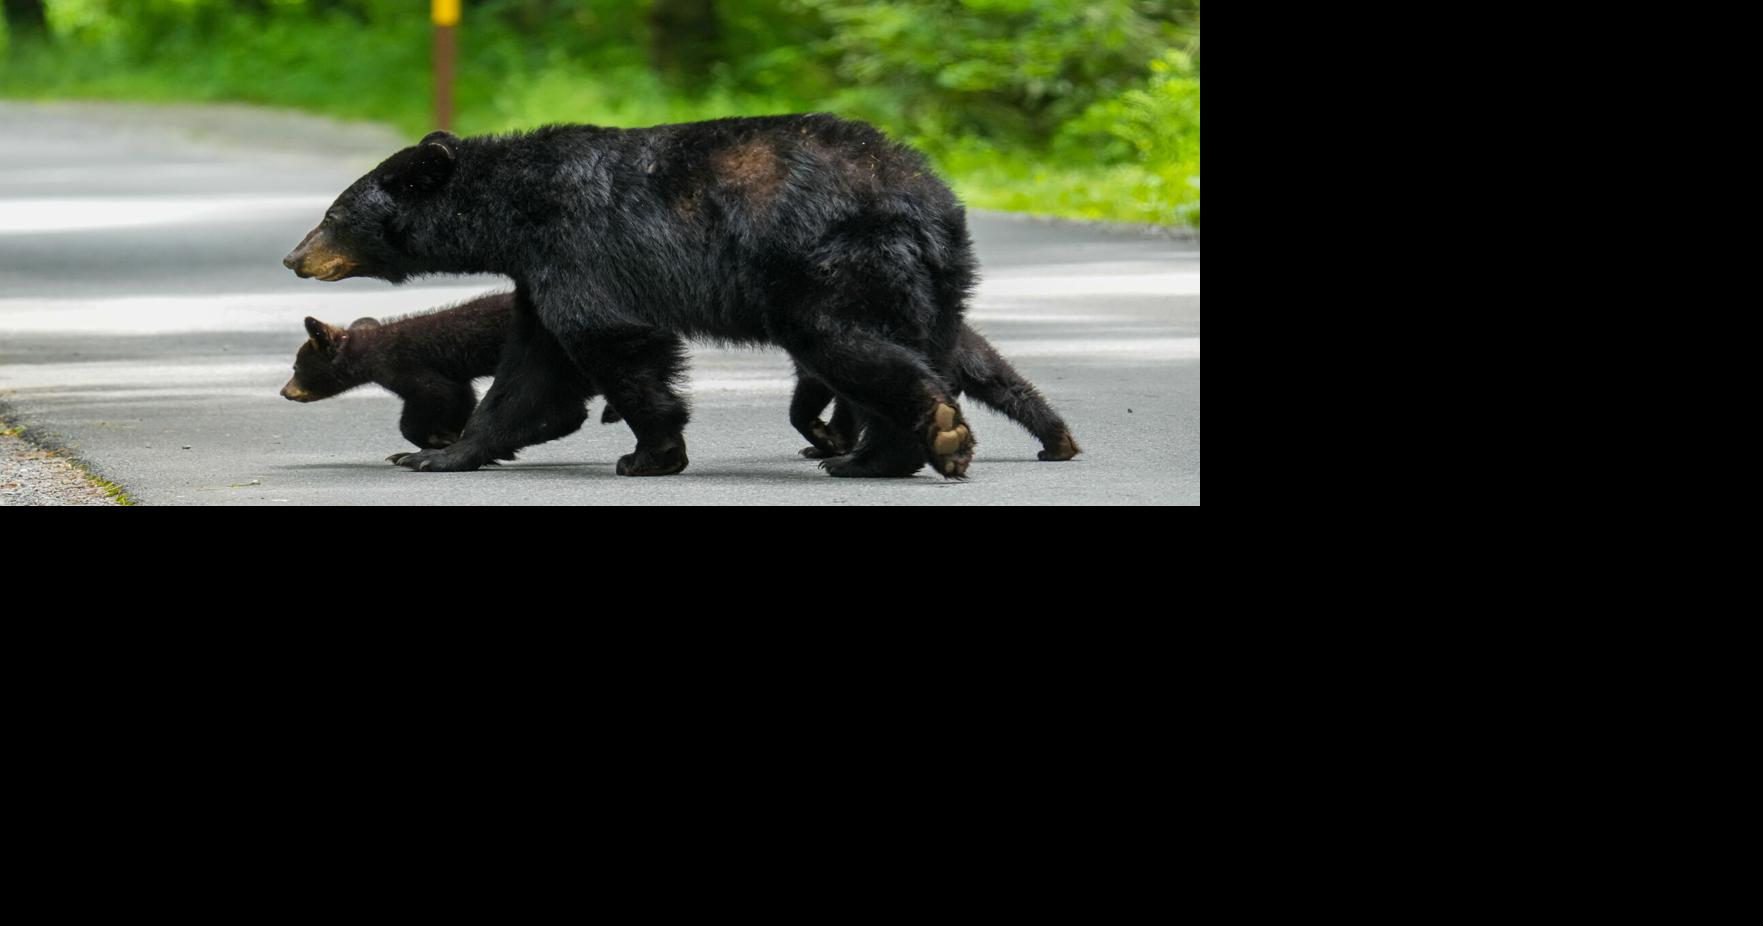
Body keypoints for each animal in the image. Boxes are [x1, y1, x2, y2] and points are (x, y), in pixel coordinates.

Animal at [279, 292, 595, 456]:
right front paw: (447, 435)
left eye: (296, 368)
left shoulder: (403, 365)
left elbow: (434, 394)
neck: (369, 349)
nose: (284, 391)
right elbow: (460, 395)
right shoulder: (452, 375)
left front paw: (433, 441)